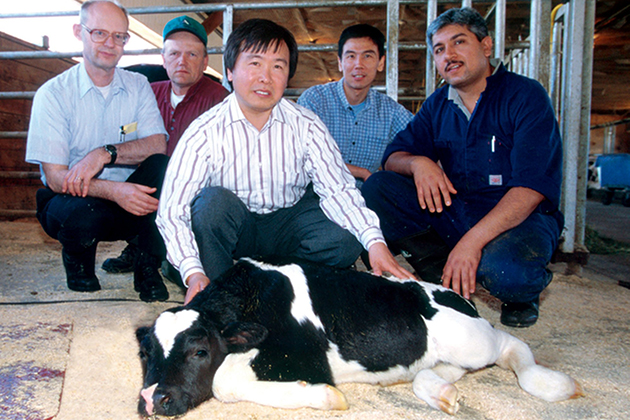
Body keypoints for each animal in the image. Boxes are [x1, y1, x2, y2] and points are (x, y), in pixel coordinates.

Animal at [137, 256, 584, 416]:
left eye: (199, 351)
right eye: (146, 354)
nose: (153, 398)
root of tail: (455, 294)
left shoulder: (302, 359)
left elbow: (225, 382)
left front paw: (326, 396)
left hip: (472, 339)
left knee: (510, 343)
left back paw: (554, 384)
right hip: (440, 355)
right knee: (431, 373)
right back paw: (443, 394)